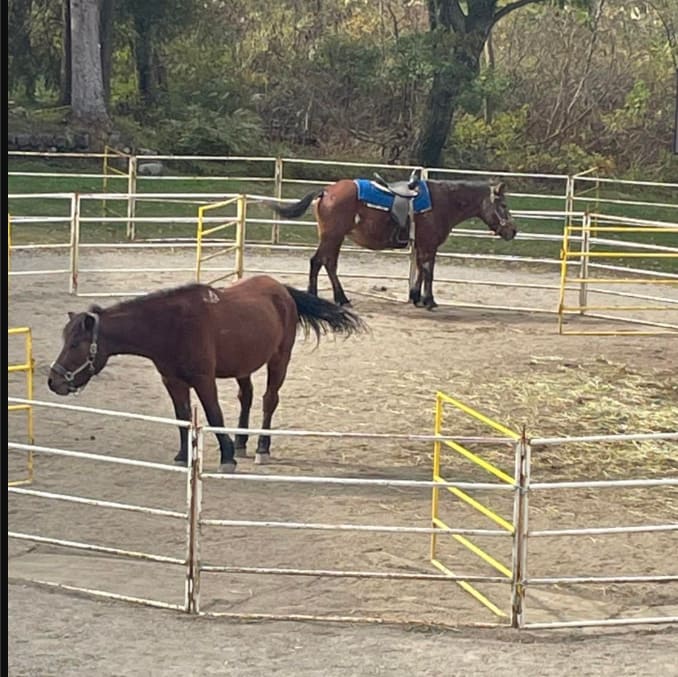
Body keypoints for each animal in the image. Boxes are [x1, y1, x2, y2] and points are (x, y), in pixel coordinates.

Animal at [47, 274, 366, 470]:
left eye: (75, 343)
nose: (53, 381)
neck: (171, 325)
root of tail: (281, 290)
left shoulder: (203, 379)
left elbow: (213, 414)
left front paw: (226, 457)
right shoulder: (173, 381)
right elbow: (182, 418)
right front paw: (184, 455)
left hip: (279, 360)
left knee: (268, 400)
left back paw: (261, 448)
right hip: (242, 366)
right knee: (246, 396)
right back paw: (241, 442)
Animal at [268, 176, 516, 310]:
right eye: (503, 205)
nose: (513, 231)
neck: (443, 201)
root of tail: (327, 191)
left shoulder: (421, 245)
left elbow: (419, 269)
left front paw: (416, 297)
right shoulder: (430, 244)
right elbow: (429, 271)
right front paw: (429, 301)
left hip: (333, 237)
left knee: (326, 263)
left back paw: (338, 298)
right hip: (333, 236)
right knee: (319, 262)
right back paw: (330, 297)